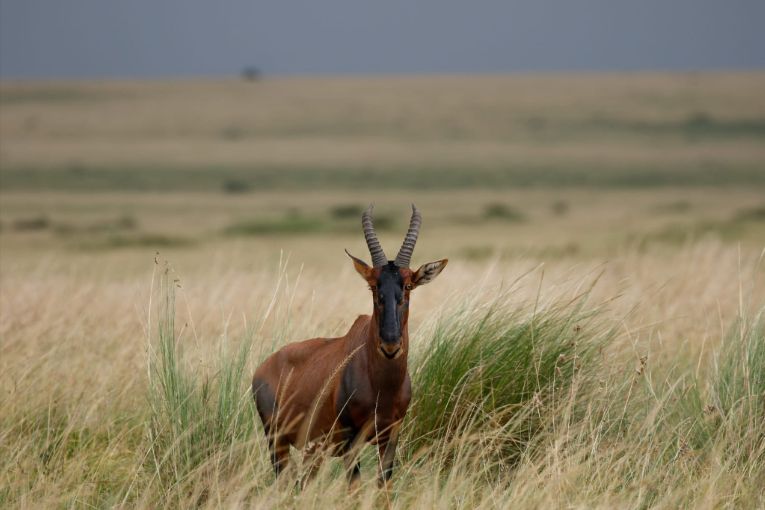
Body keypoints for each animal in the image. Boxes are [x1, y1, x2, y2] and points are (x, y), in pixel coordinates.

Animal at [251, 205, 444, 488]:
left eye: (408, 285)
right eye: (373, 286)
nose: (390, 345)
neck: (382, 385)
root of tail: (263, 368)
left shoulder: (390, 436)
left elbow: (383, 487)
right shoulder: (351, 440)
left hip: (311, 450)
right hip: (277, 442)